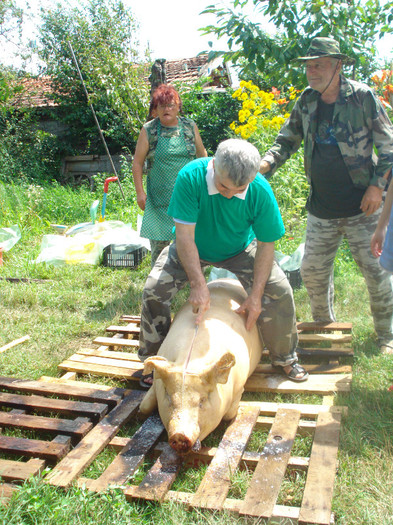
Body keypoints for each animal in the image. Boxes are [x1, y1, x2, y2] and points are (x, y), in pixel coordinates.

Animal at [139, 278, 264, 454]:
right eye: (169, 398)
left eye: (202, 400)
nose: (179, 435)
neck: (190, 361)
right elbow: (143, 407)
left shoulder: (240, 386)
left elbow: (230, 415)